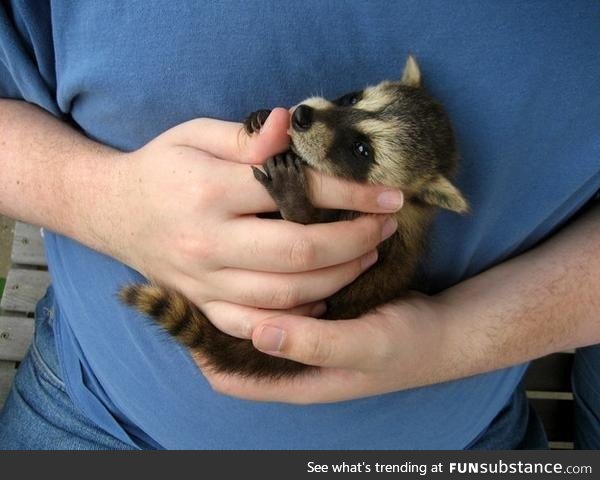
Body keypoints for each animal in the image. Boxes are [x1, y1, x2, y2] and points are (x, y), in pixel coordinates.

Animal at [120, 57, 468, 378]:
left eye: (361, 149)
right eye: (352, 98)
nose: (301, 116)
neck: (412, 204)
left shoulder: (383, 236)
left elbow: (311, 229)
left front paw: (297, 206)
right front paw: (263, 118)